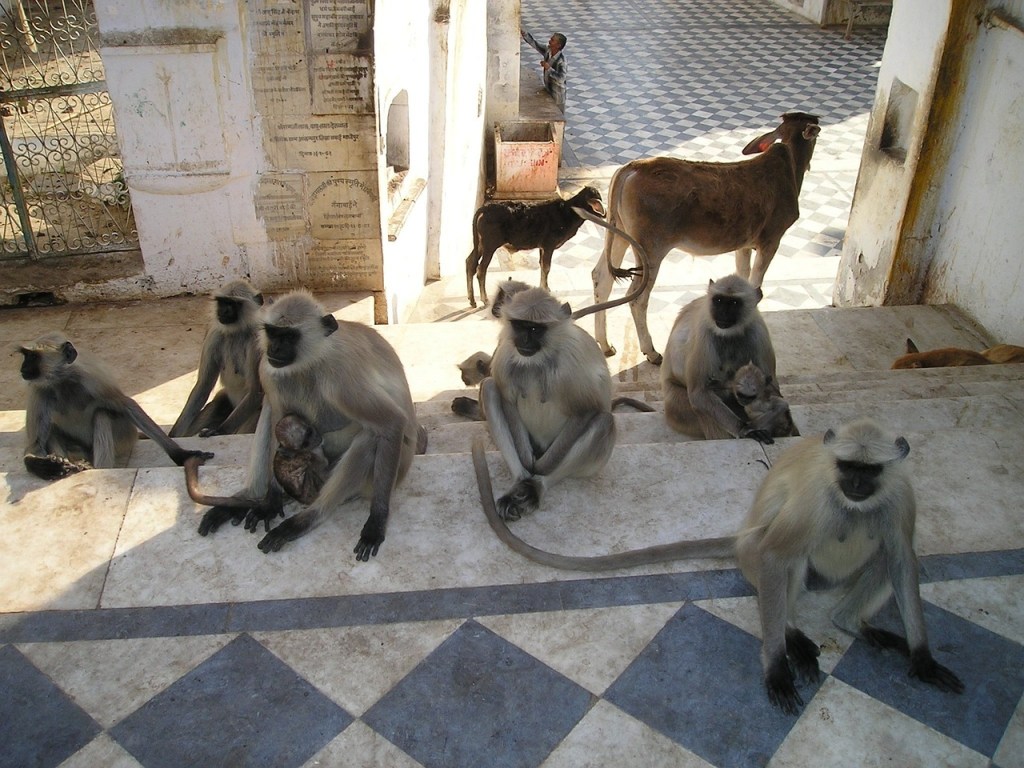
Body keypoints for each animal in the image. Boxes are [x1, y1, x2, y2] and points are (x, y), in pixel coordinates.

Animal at [17, 331, 209, 481]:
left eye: (33, 357)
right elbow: (36, 445)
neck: (63, 382)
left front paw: (181, 455)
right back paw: (70, 463)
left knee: (102, 414)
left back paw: (95, 469)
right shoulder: (40, 390)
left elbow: (128, 406)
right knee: (52, 430)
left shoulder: (93, 381)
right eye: (26, 356)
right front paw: (43, 465)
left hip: (124, 437)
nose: (22, 368)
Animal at [169, 280, 264, 438]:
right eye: (222, 302)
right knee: (218, 403)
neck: (235, 332)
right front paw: (171, 435)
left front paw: (219, 431)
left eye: (233, 304)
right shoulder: (214, 335)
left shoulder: (257, 339)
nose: (223, 311)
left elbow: (257, 391)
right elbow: (203, 385)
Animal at [193, 290, 425, 561]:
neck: (311, 361)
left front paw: (377, 521)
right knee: (270, 410)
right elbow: (278, 420)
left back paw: (307, 518)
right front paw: (271, 501)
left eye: (289, 336)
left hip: (380, 473)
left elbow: (391, 423)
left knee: (371, 436)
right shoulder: (269, 370)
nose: (274, 348)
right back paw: (250, 498)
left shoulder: (341, 378)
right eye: (272, 332)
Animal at [659, 276, 770, 444]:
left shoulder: (758, 331)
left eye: (734, 303)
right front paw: (744, 429)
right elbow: (699, 393)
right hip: (675, 405)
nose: (722, 313)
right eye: (718, 300)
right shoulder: (704, 334)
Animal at [737, 421, 958, 716]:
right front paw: (777, 668)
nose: (855, 484)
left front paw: (922, 656)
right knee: (790, 556)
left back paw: (849, 621)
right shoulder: (815, 499)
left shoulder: (900, 493)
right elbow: (774, 556)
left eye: (869, 470)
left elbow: (902, 560)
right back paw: (791, 633)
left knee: (887, 555)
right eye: (848, 466)